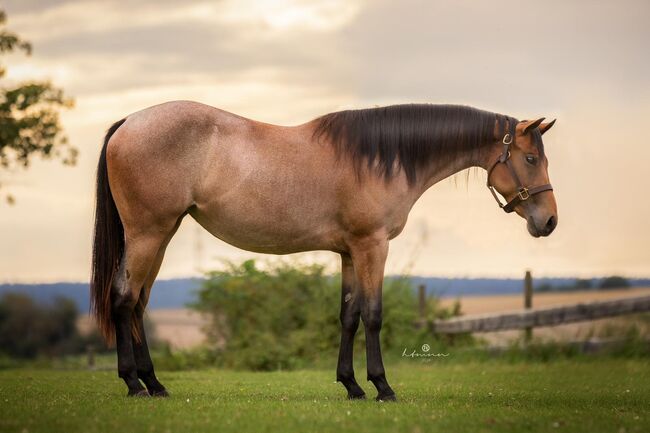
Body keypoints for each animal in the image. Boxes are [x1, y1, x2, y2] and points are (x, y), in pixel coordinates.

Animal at [91, 101, 556, 398]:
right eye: (531, 159)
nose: (549, 221)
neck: (380, 159)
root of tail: (129, 122)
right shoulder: (372, 246)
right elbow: (373, 314)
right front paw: (382, 386)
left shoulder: (350, 251)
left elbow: (348, 316)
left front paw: (351, 385)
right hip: (148, 233)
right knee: (124, 298)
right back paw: (133, 384)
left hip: (162, 234)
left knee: (138, 302)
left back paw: (154, 383)